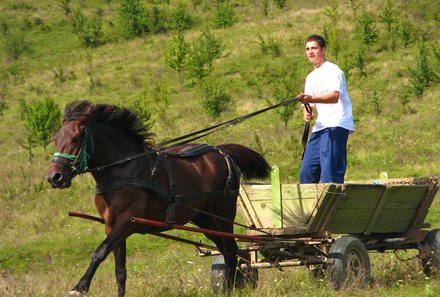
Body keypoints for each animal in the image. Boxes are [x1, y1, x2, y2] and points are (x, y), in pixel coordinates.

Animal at [46, 100, 270, 294]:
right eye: (56, 139)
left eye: (76, 138)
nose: (54, 177)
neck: (123, 170)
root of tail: (222, 151)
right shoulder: (111, 225)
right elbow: (120, 270)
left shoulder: (128, 221)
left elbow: (100, 252)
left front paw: (79, 287)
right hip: (204, 218)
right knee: (228, 250)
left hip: (223, 212)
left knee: (231, 250)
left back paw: (229, 289)